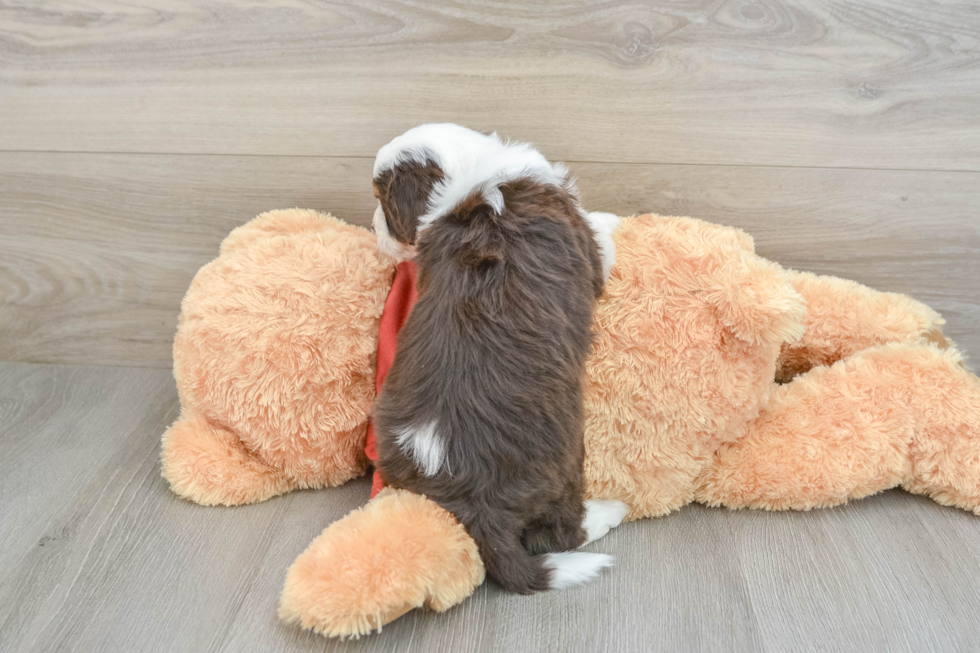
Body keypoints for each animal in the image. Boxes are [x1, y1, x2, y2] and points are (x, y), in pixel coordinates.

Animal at [368, 125, 628, 592]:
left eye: (383, 202)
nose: (373, 226)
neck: (470, 179)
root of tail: (471, 504)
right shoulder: (587, 249)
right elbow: (601, 235)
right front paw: (614, 219)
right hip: (562, 465)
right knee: (560, 532)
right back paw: (610, 512)